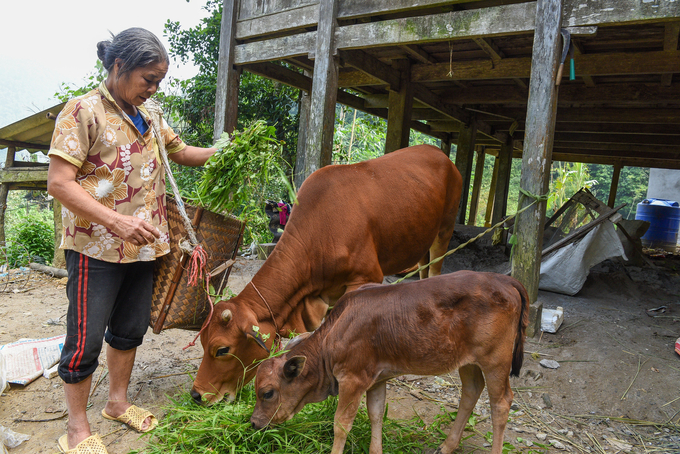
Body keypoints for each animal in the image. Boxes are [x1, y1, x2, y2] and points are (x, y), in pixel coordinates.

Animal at [191, 144, 462, 402]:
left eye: (222, 349)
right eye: (202, 343)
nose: (196, 395)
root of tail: (441, 155)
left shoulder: (366, 278)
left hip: (445, 231)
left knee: (436, 271)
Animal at [251, 272, 532, 452]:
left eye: (267, 393)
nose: (253, 422)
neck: (331, 338)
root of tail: (505, 279)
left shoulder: (352, 379)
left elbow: (341, 425)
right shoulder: (376, 379)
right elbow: (376, 415)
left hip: (495, 359)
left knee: (501, 403)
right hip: (469, 361)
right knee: (471, 391)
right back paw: (446, 446)